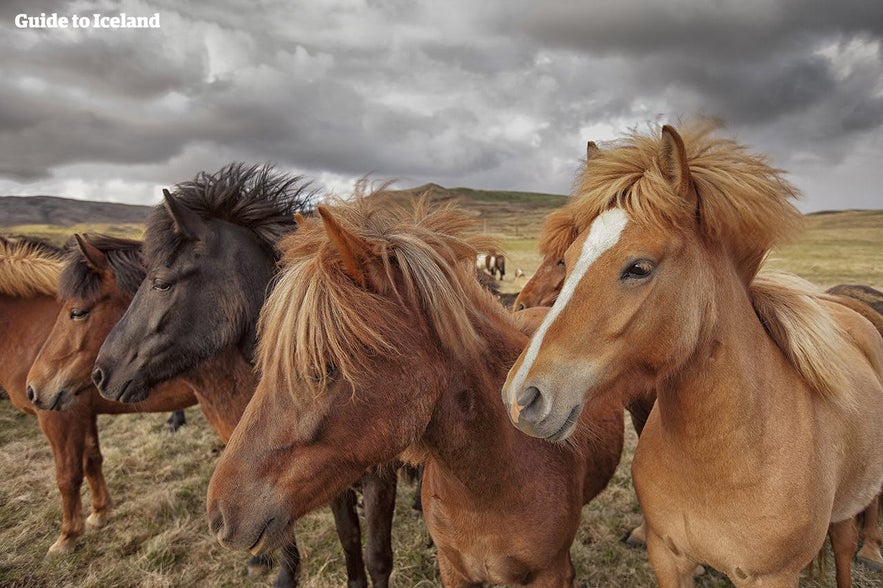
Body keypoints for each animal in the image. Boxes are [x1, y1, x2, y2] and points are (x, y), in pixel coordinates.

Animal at [0, 235, 197, 556]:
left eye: (77, 312)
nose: (34, 389)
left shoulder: (58, 418)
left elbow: (66, 476)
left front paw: (67, 536)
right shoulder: (82, 412)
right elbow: (92, 459)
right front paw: (99, 513)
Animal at [91, 165, 396, 588]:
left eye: (161, 282)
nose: (102, 372)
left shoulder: (382, 476)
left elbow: (377, 556)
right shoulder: (329, 472)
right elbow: (349, 539)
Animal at [500, 120, 883, 588]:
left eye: (639, 268)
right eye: (567, 260)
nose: (521, 398)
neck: (721, 461)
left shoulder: (771, 576)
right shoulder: (668, 557)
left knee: (845, 545)